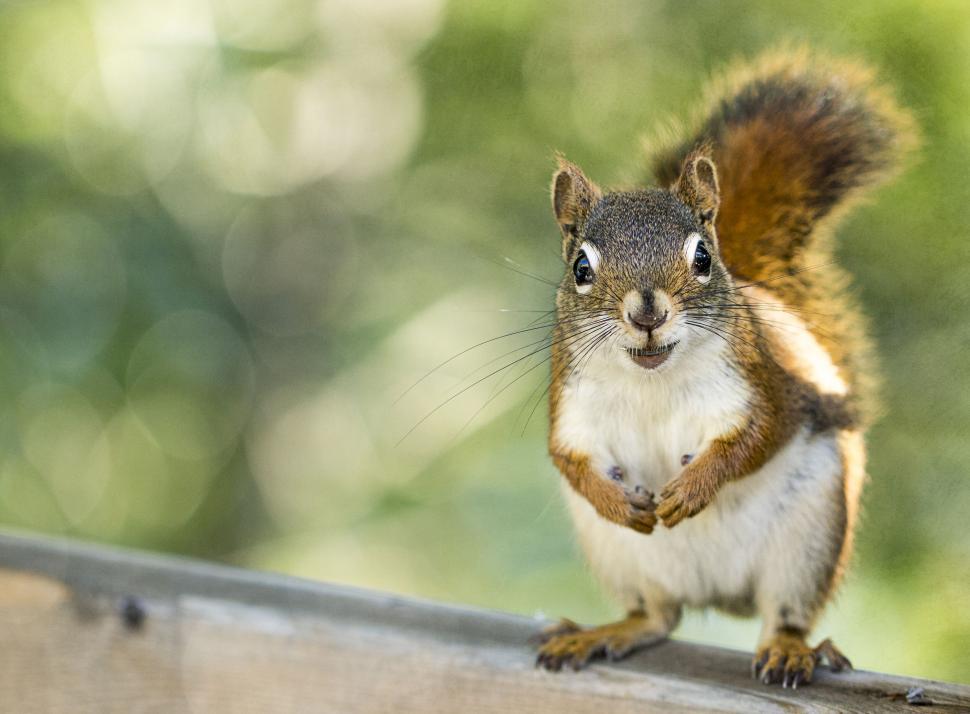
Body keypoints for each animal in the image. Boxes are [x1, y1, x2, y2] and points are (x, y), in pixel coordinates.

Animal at [534, 48, 916, 687]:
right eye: (581, 267)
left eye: (703, 257)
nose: (647, 312)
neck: (653, 380)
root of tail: (717, 595)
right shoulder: (572, 406)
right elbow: (567, 459)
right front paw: (617, 500)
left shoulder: (763, 385)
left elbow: (760, 436)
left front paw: (693, 488)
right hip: (621, 557)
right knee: (656, 617)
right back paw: (604, 632)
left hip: (807, 539)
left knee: (784, 613)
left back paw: (790, 649)